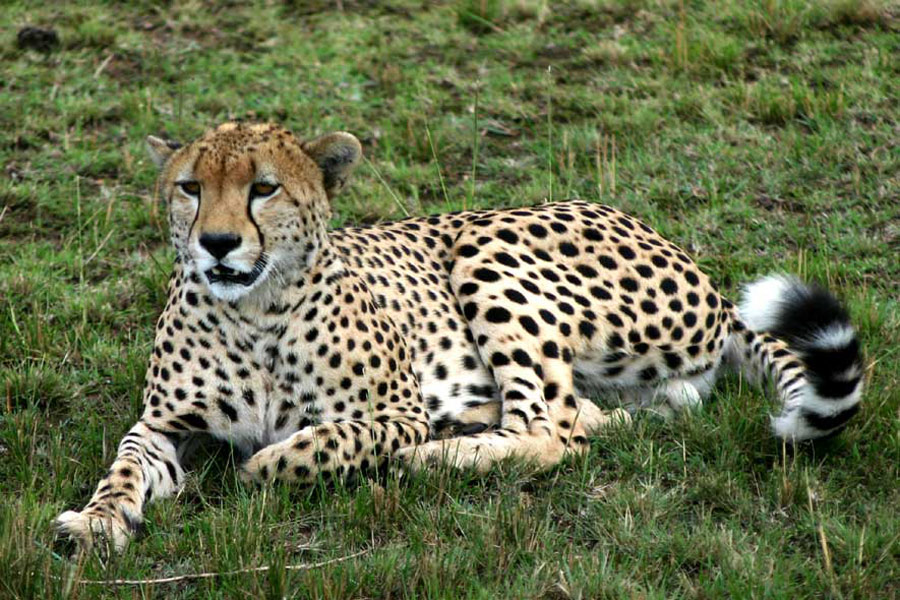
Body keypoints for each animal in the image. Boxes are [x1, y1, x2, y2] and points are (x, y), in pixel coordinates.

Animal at [52, 124, 860, 552]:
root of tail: (707, 282)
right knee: (600, 416)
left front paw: (268, 465)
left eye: (263, 187)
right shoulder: (164, 423)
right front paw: (94, 522)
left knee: (554, 430)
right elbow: (125, 466)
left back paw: (436, 458)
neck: (251, 309)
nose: (216, 244)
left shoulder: (393, 410)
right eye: (190, 187)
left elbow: (319, 443)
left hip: (486, 249)